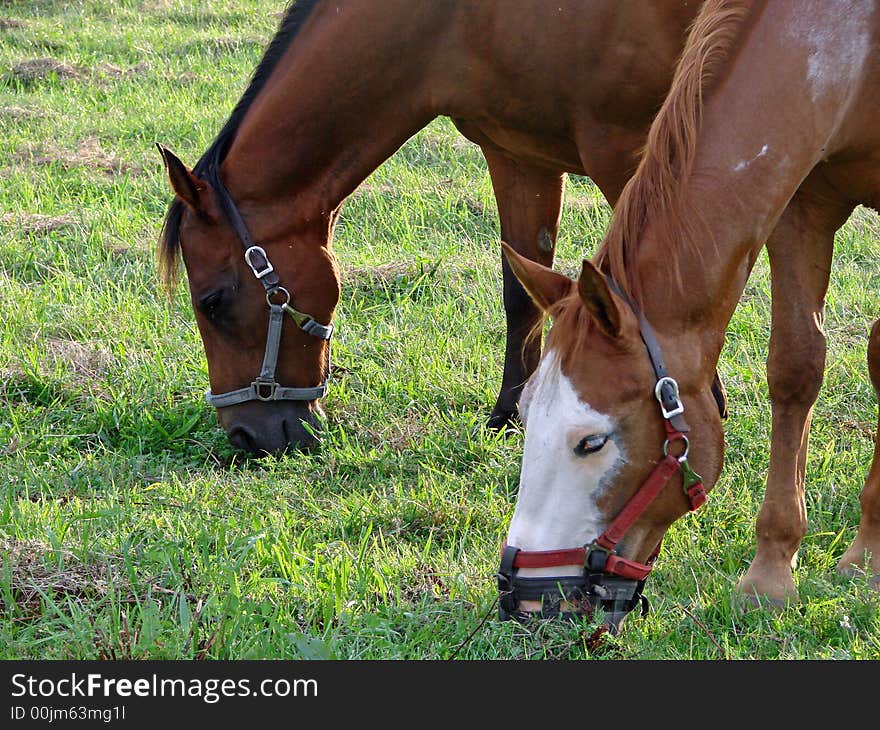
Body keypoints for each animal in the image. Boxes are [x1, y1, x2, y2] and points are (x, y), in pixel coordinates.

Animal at [160, 1, 716, 456]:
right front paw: (507, 418)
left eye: (212, 302)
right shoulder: (518, 156)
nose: (244, 436)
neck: (457, 18)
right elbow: (520, 293)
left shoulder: (629, 154)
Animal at [498, 0, 880, 628]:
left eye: (592, 442)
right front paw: (772, 572)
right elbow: (795, 367)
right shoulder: (803, 201)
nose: (526, 597)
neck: (855, 39)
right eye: (526, 416)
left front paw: (868, 549)